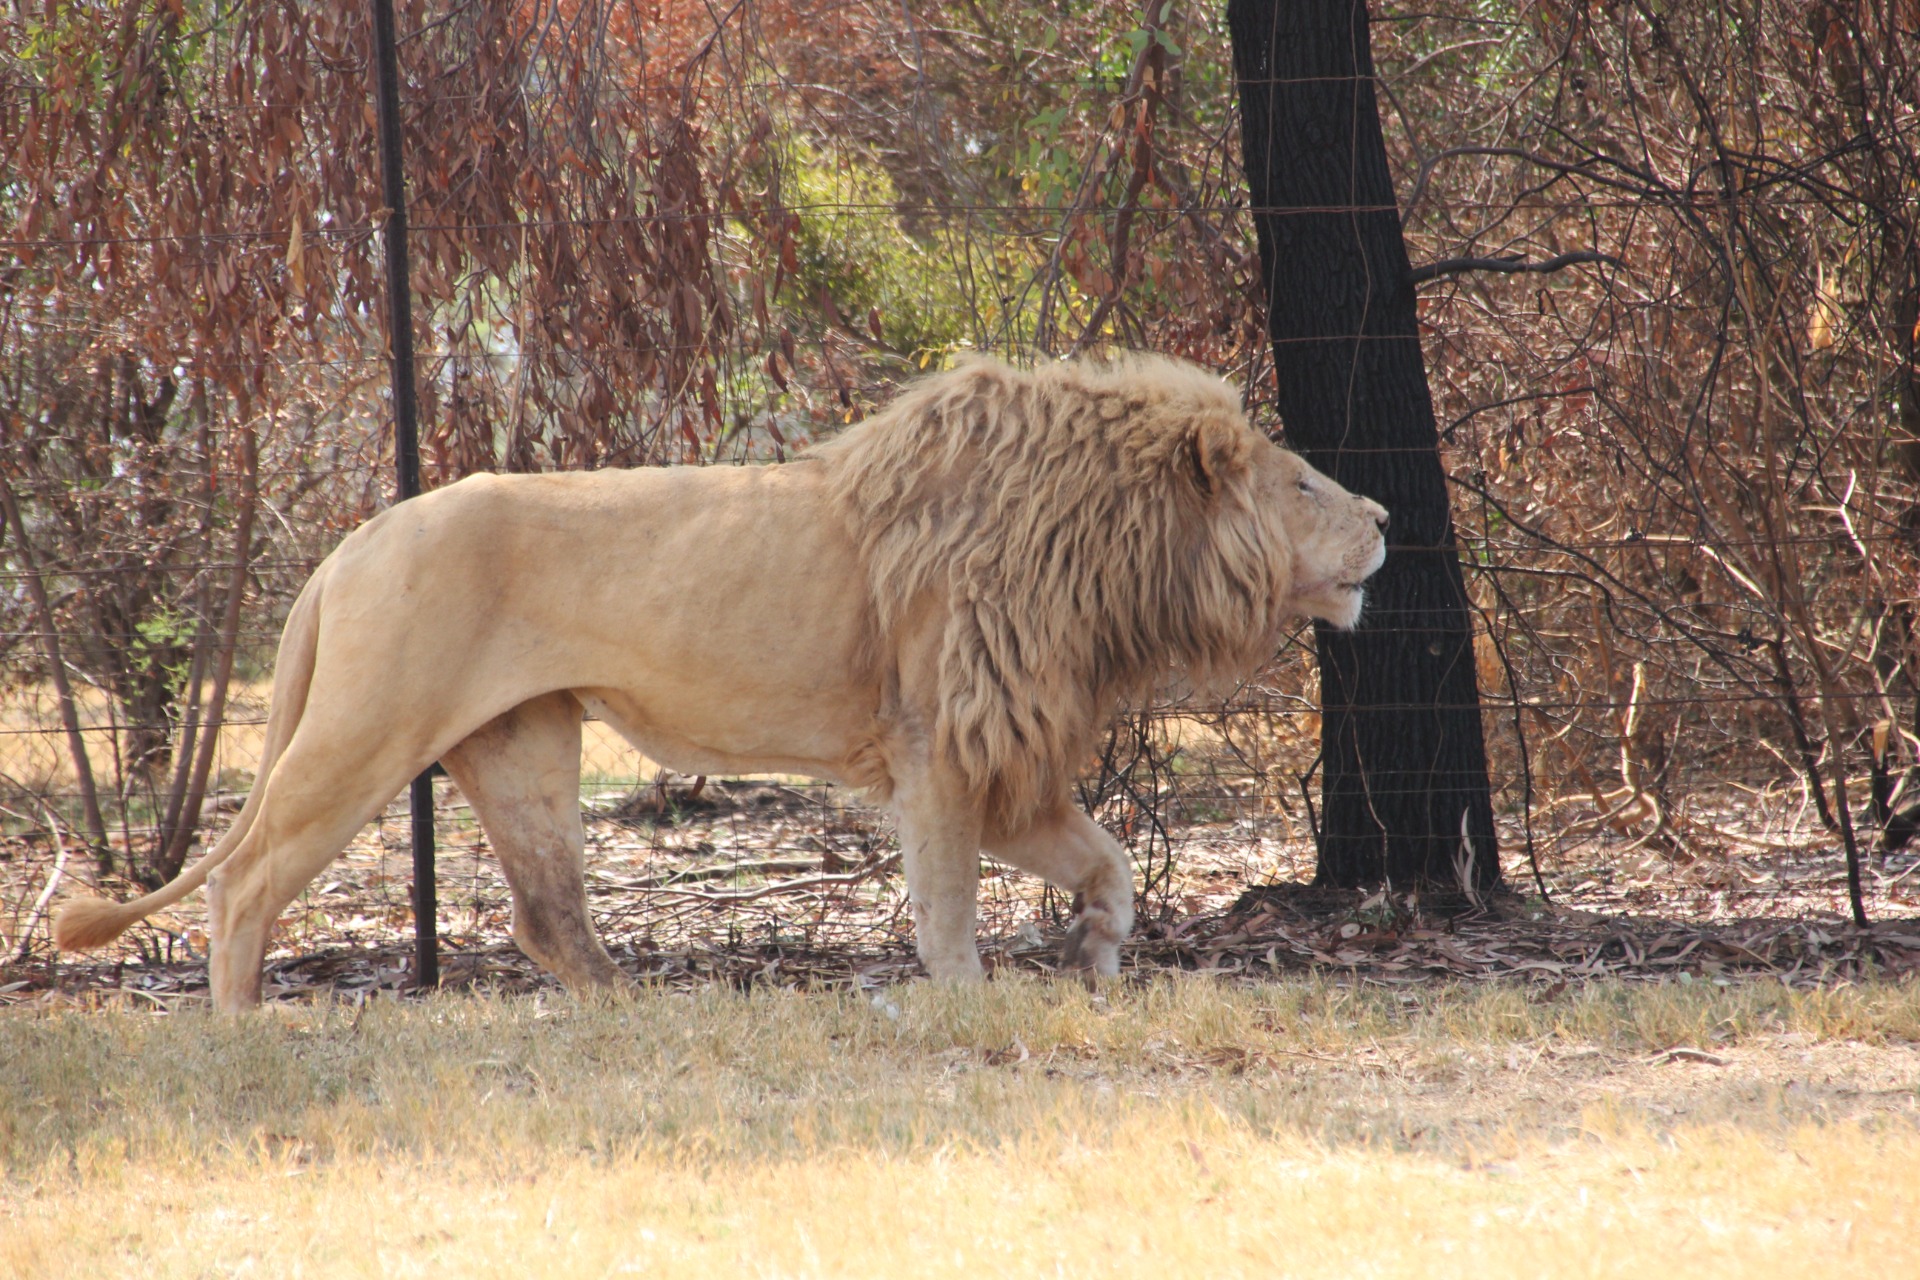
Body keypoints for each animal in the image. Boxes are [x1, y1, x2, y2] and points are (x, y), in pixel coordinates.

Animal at [55, 354, 1388, 1010]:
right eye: (1303, 483)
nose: (1382, 517)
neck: (1114, 548)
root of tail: (349, 545)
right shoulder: (940, 741)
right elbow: (949, 899)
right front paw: (973, 1001)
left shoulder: (1001, 751)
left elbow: (1105, 858)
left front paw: (1104, 960)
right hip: (366, 729)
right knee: (247, 882)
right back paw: (242, 1026)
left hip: (522, 746)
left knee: (547, 915)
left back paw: (640, 1015)